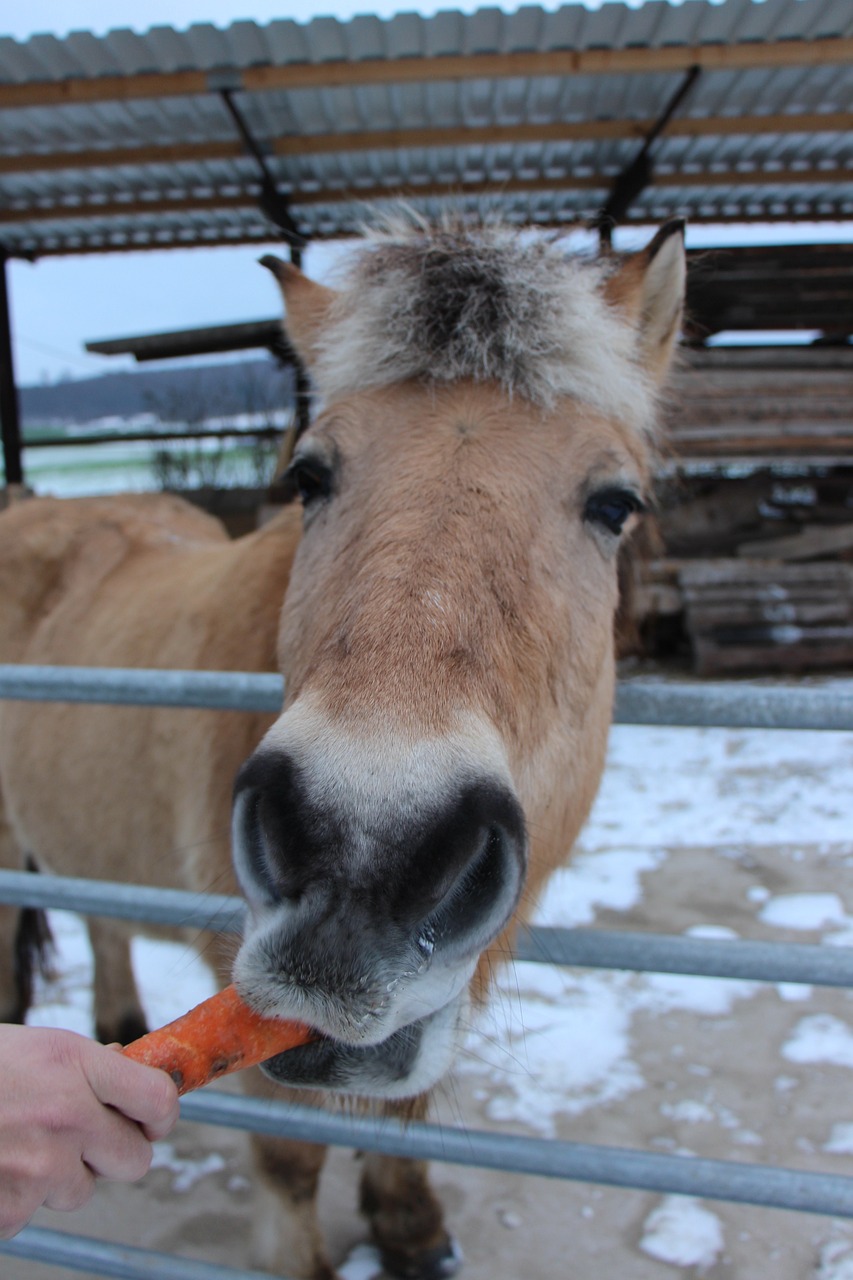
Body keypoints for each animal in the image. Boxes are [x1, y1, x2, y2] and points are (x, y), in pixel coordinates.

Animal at [0, 215, 681, 1274]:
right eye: (308, 476)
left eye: (615, 503)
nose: (360, 859)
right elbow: (289, 1160)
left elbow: (405, 1113)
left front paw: (409, 1226)